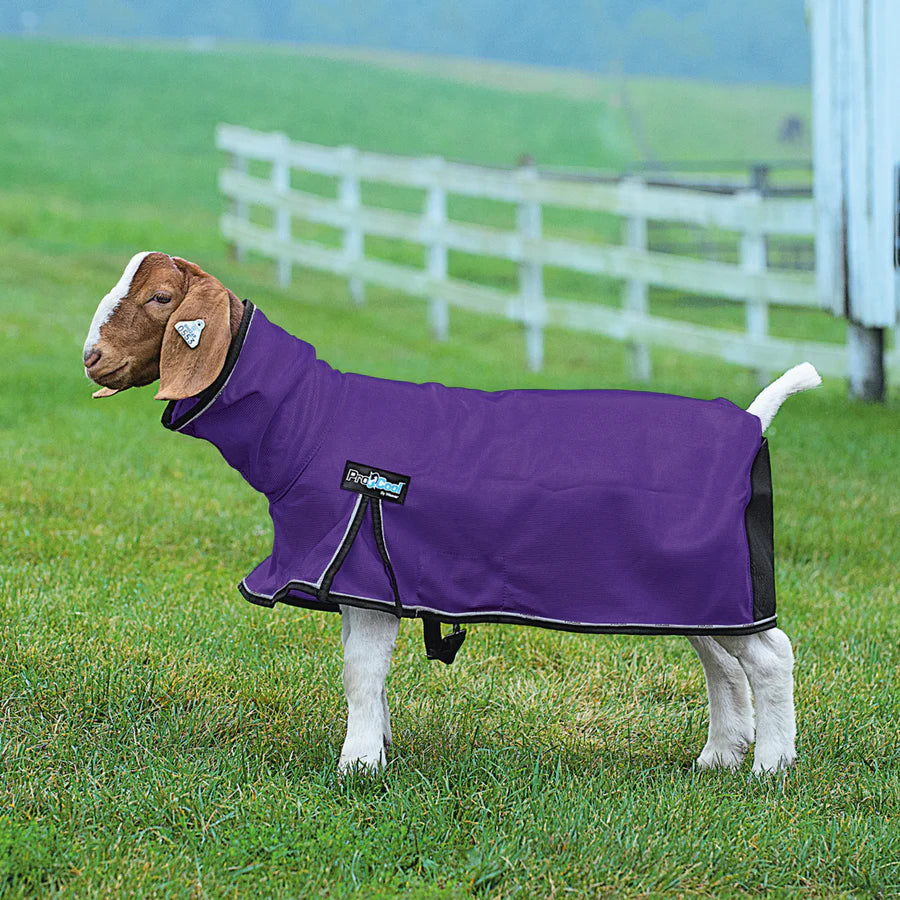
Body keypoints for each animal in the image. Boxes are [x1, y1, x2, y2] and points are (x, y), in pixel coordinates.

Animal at [84, 252, 821, 775]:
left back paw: (771, 765)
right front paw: (378, 747)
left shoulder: (362, 563)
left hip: (719, 579)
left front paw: (357, 766)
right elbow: (364, 671)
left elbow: (361, 672)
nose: (91, 357)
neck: (309, 421)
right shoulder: (355, 578)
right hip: (698, 586)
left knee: (770, 655)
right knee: (722, 661)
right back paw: (720, 755)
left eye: (160, 298)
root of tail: (751, 419)